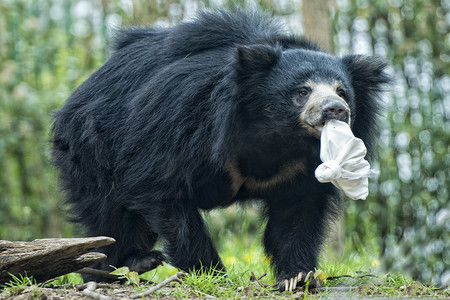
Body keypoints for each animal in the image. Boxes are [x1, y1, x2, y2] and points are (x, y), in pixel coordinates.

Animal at [50, 9, 390, 290]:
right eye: (302, 91)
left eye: (342, 91)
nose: (336, 109)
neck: (278, 136)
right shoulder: (184, 117)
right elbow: (161, 187)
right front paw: (211, 273)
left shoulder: (301, 169)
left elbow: (298, 213)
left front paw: (297, 277)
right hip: (91, 144)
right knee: (108, 214)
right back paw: (116, 268)